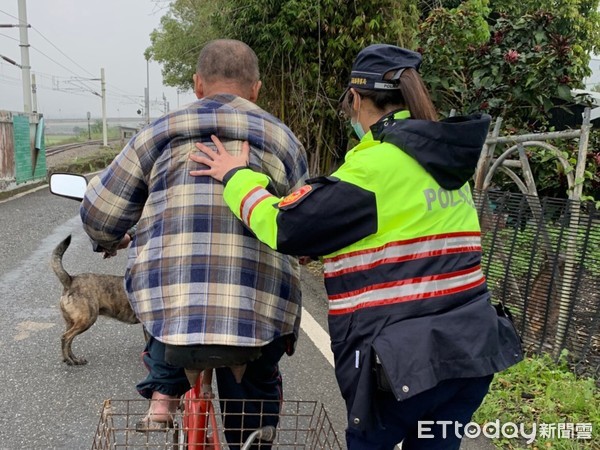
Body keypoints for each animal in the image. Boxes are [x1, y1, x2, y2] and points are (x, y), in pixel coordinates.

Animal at [50, 236, 139, 366]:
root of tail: (71, 280)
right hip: (87, 319)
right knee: (66, 338)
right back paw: (69, 360)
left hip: (72, 322)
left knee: (69, 341)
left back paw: (74, 359)